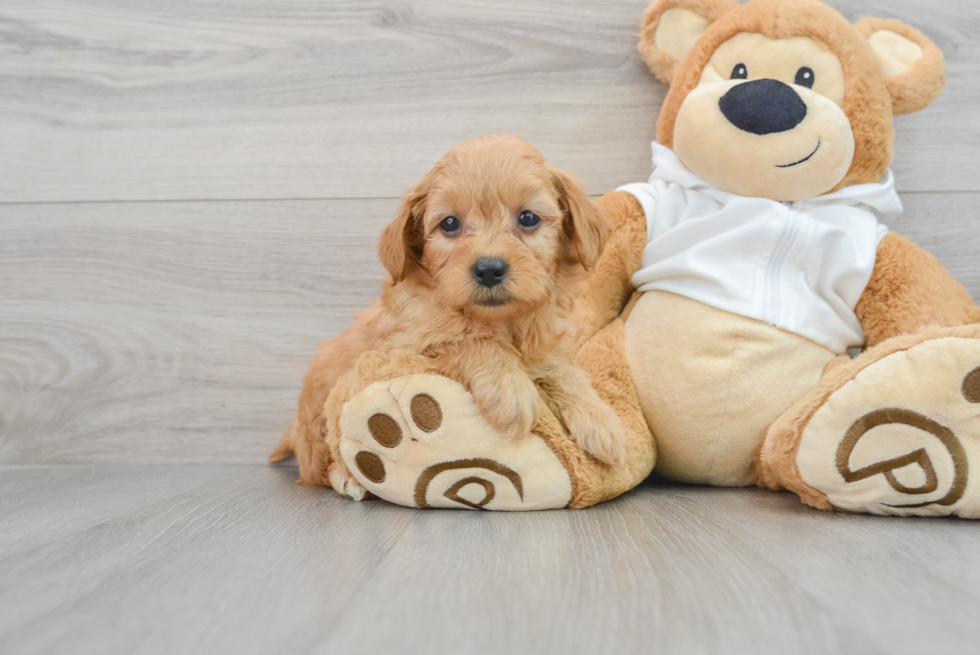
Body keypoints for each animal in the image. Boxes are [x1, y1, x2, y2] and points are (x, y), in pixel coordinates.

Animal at [274, 135, 628, 498]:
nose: (489, 269)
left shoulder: (547, 346)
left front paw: (600, 419)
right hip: (321, 418)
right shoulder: (405, 345)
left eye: (528, 218)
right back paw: (347, 478)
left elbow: (564, 372)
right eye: (449, 223)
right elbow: (468, 340)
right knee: (320, 461)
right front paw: (510, 389)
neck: (502, 320)